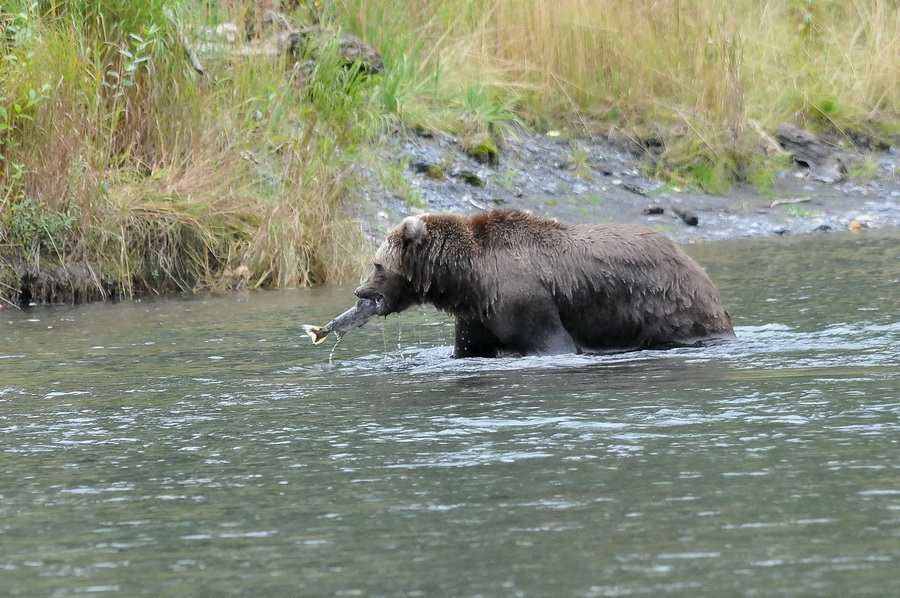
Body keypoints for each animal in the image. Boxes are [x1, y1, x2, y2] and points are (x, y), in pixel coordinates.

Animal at [352, 209, 732, 358]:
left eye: (376, 264)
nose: (360, 291)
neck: (469, 278)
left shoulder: (521, 298)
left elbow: (551, 342)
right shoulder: (478, 313)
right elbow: (468, 349)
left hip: (667, 301)